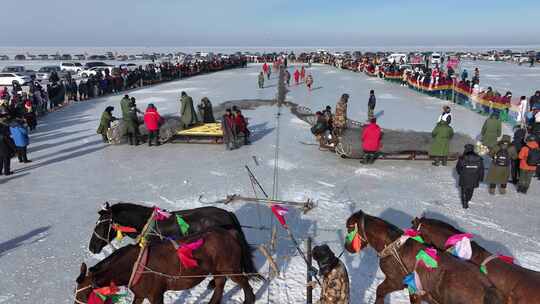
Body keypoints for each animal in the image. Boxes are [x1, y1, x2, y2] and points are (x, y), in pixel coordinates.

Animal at [74, 228, 258, 304]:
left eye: (84, 295)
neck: (134, 265)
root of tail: (230, 233)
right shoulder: (140, 295)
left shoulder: (155, 296)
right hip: (217, 270)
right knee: (220, 285)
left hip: (231, 269)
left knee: (245, 286)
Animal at [344, 210, 504, 304]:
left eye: (349, 228)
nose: (346, 247)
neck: (392, 245)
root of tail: (487, 290)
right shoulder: (415, 291)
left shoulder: (396, 281)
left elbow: (380, 291)